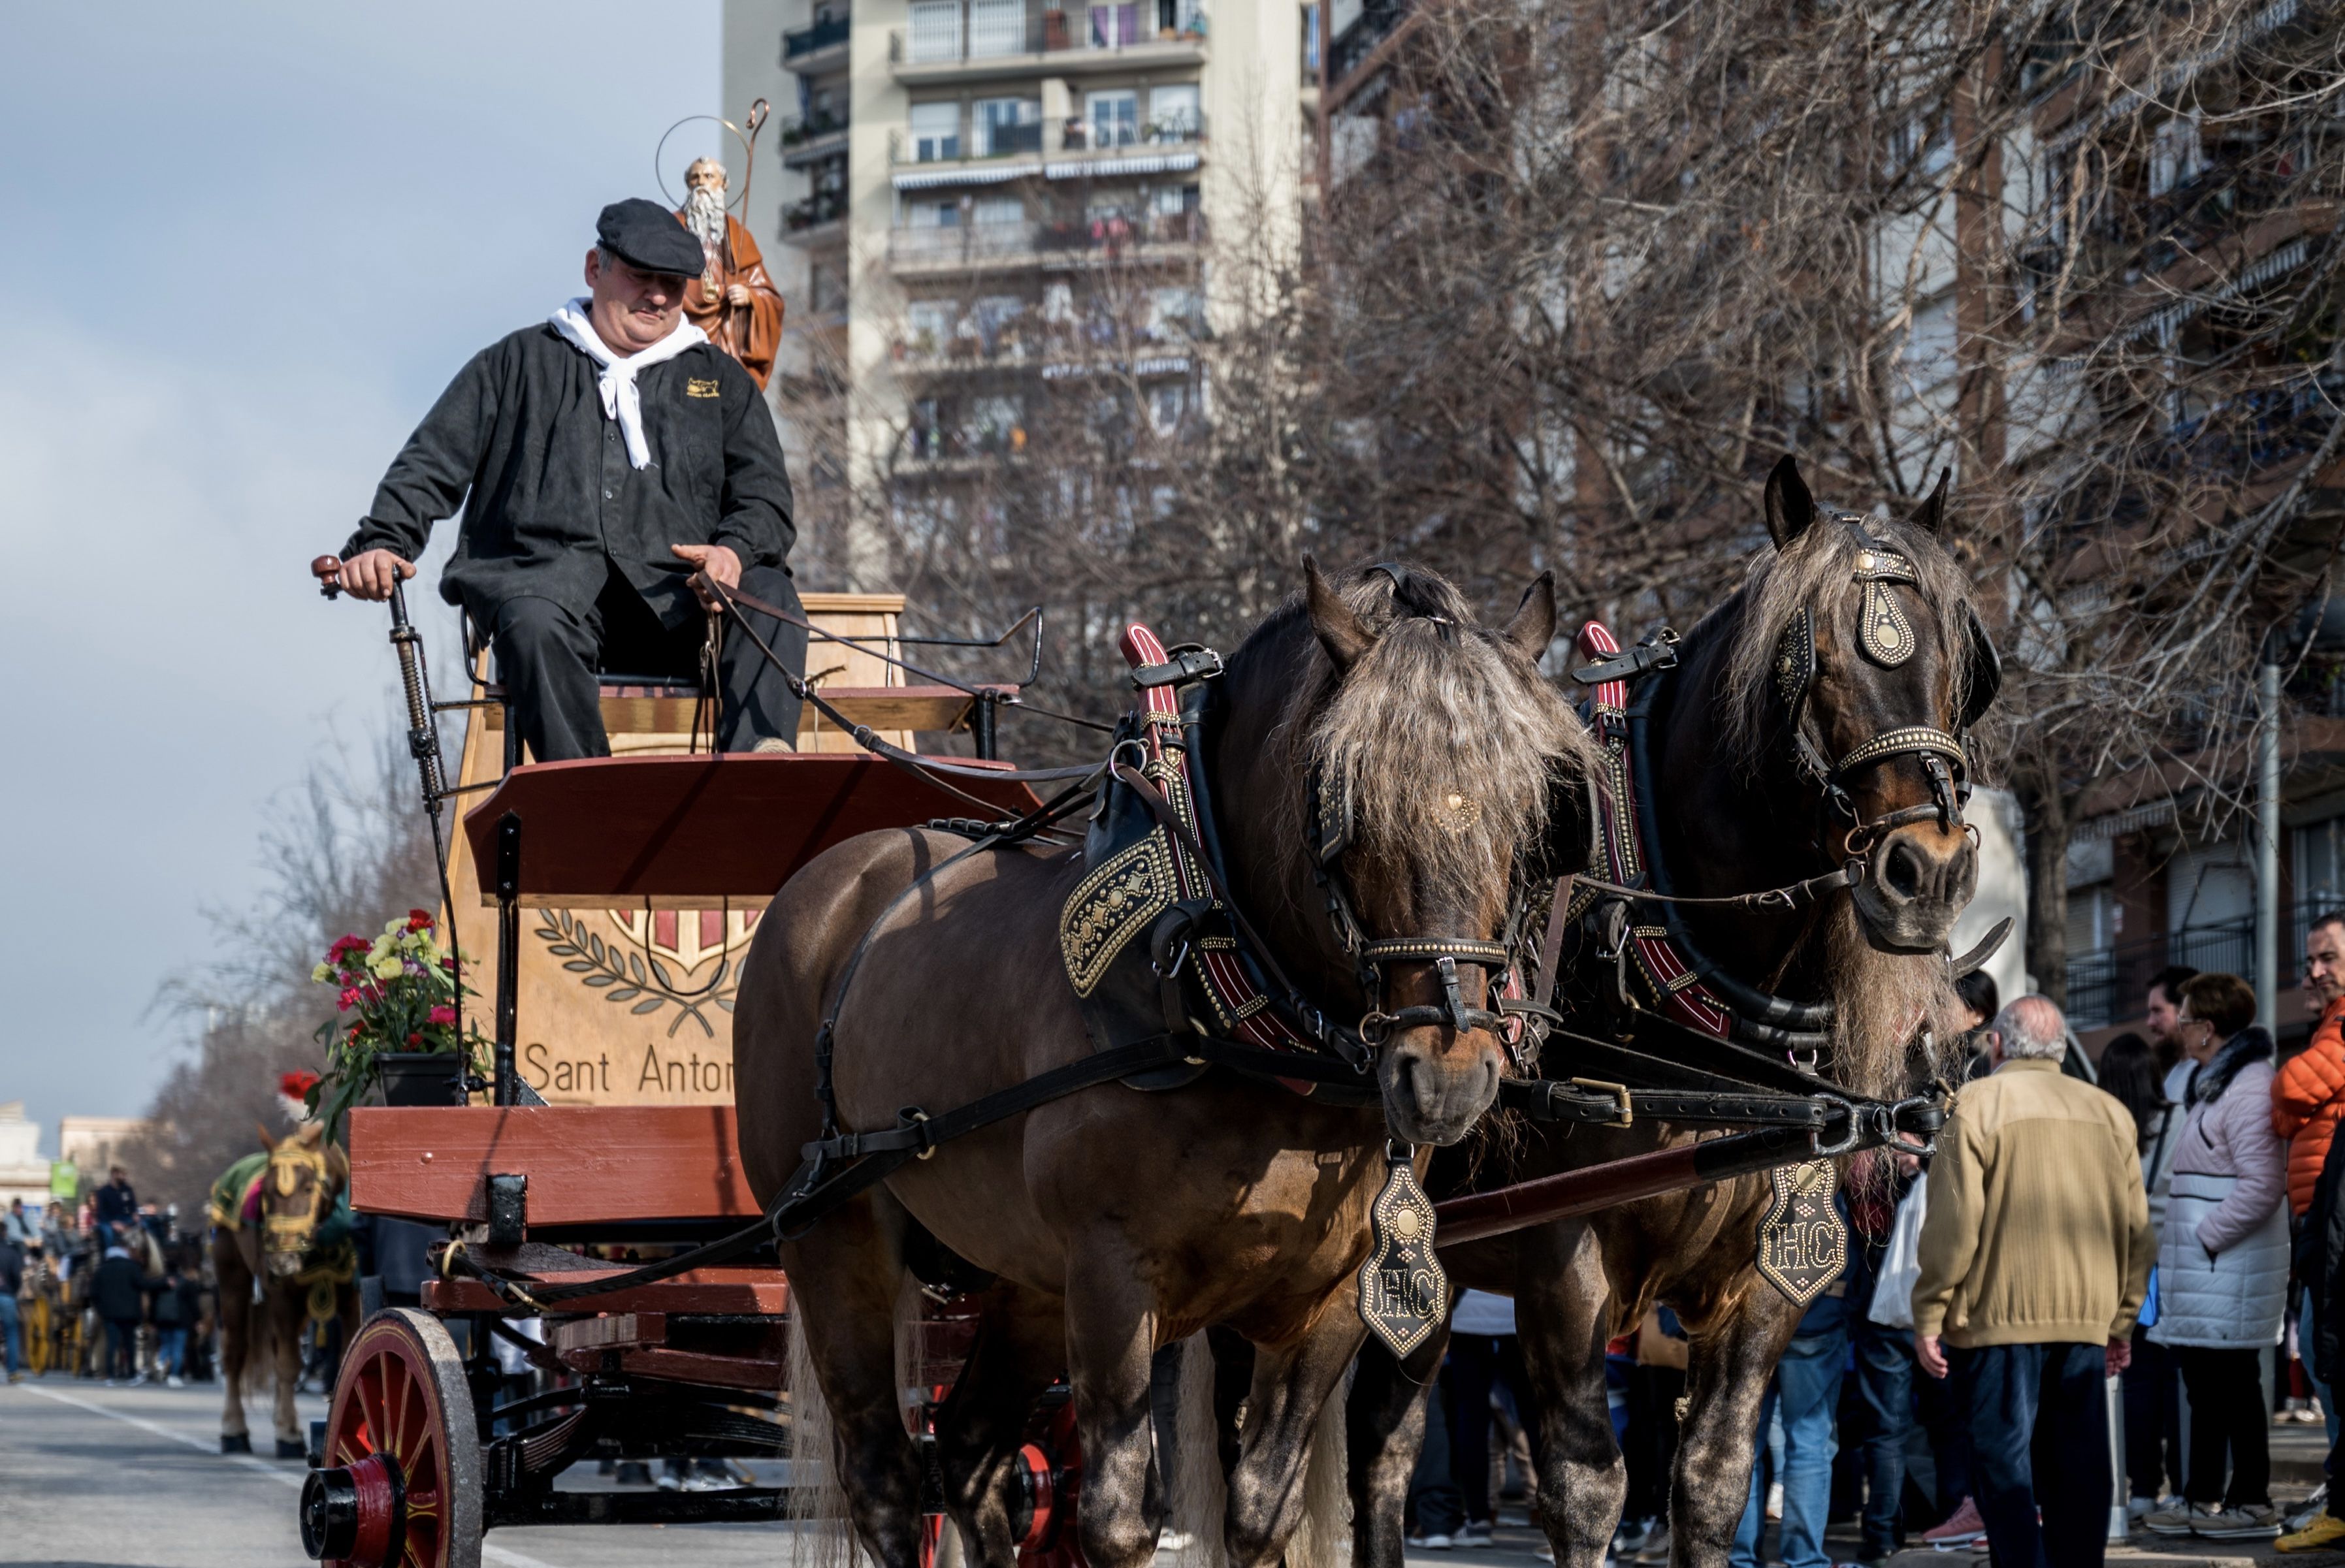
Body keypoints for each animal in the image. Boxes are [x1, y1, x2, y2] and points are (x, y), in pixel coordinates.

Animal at [210, 1120, 356, 1453]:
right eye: (266, 1192)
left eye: (309, 1188)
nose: (281, 1260)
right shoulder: (283, 1299)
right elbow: (289, 1365)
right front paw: (289, 1434)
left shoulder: (353, 1298)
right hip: (233, 1282)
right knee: (235, 1353)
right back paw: (234, 1430)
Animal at [732, 560, 1594, 1565]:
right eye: (1342, 806)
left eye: (1533, 811)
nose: (1447, 1072)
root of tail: (833, 881)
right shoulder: (1110, 1278)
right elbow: (1117, 1520)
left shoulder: (1331, 1300)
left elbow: (1260, 1508)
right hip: (832, 1237)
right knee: (886, 1479)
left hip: (1025, 1282)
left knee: (975, 1453)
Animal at [1350, 455, 1988, 1565]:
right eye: (1809, 662)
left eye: (1957, 660)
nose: (1930, 871)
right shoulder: (1561, 1270)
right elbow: (1586, 1490)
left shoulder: (1769, 1283)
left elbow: (1712, 1478)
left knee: (1383, 1447)